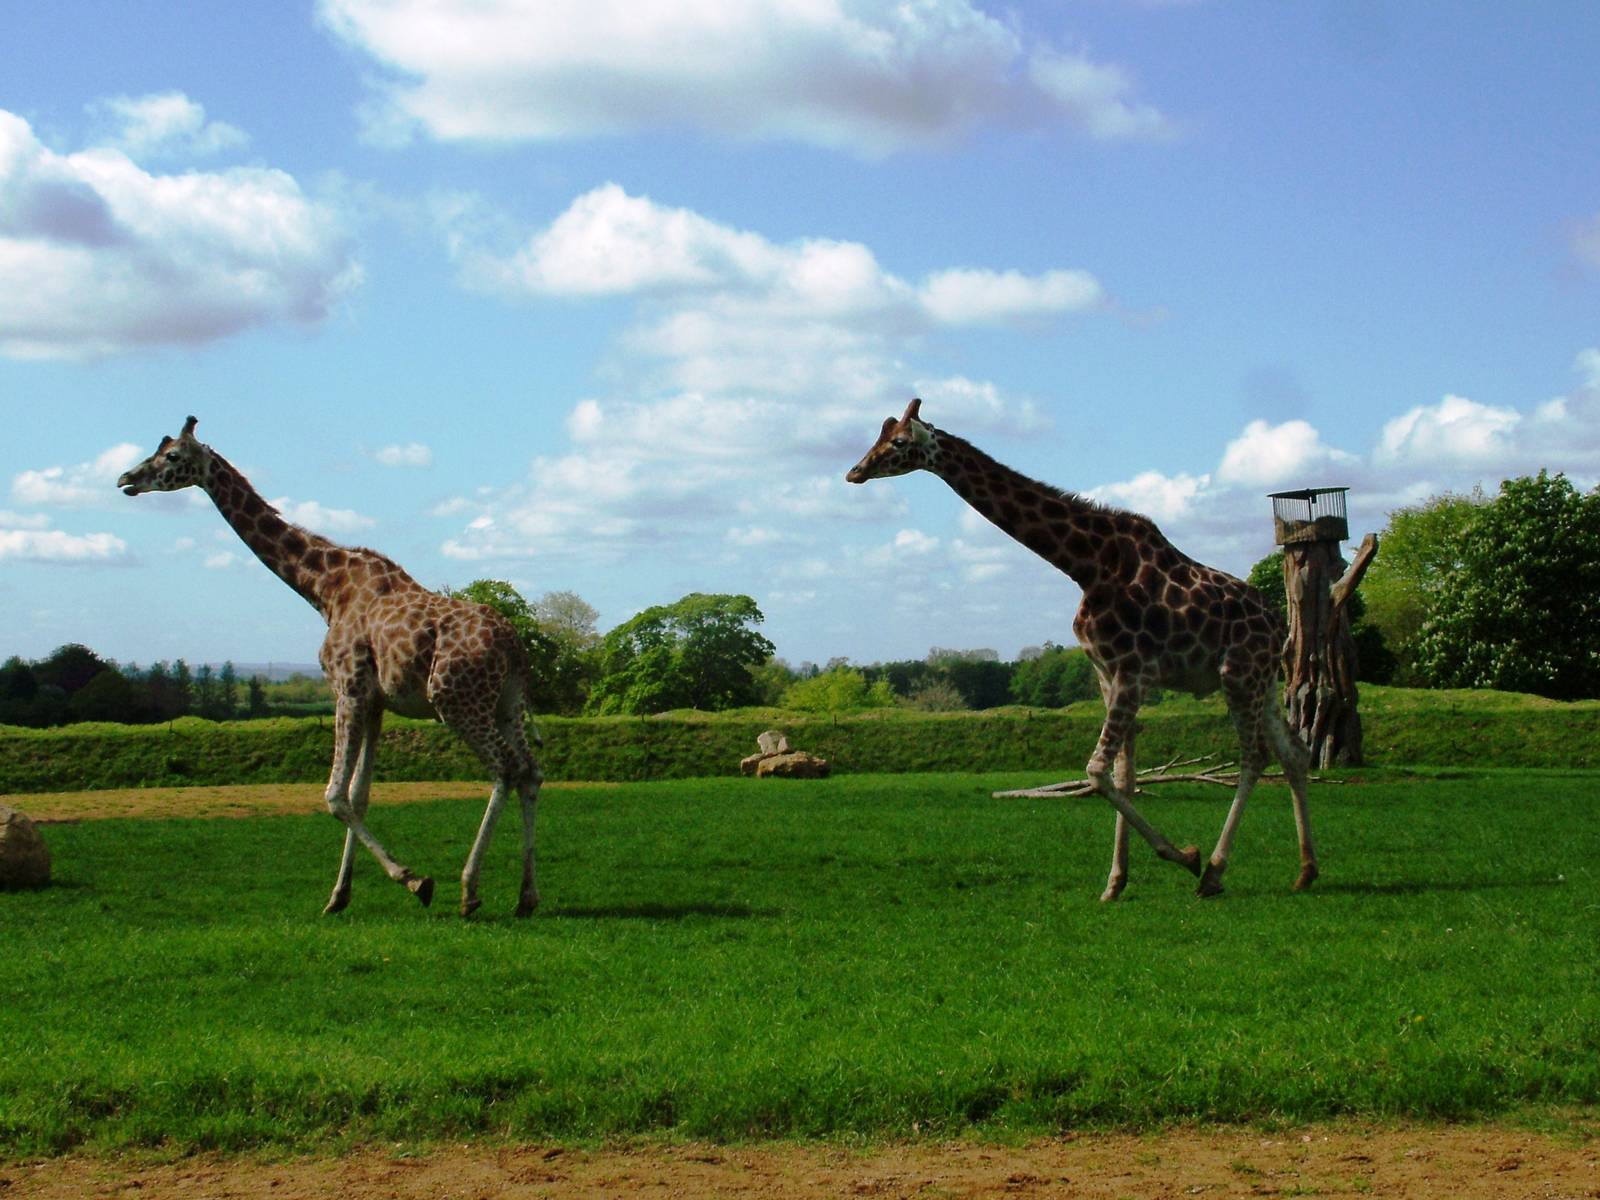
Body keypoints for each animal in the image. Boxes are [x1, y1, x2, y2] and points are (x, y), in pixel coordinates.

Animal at [118, 417, 542, 919]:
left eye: (172, 456)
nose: (125, 478)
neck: (323, 587)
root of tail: (514, 645)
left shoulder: (348, 688)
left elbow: (334, 795)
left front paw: (415, 881)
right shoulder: (376, 700)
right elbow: (359, 795)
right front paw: (339, 896)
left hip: (456, 699)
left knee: (506, 767)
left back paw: (469, 890)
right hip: (505, 701)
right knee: (530, 771)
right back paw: (526, 896)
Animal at [846, 399, 1316, 900]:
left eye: (898, 442)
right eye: (878, 434)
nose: (855, 471)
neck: (1086, 565)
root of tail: (1279, 625)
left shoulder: (1133, 672)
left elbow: (1095, 770)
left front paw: (1186, 857)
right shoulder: (1107, 674)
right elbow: (1123, 777)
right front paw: (1115, 882)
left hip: (1238, 673)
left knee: (1255, 756)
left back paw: (1214, 871)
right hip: (1263, 682)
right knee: (1293, 753)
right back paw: (1306, 871)